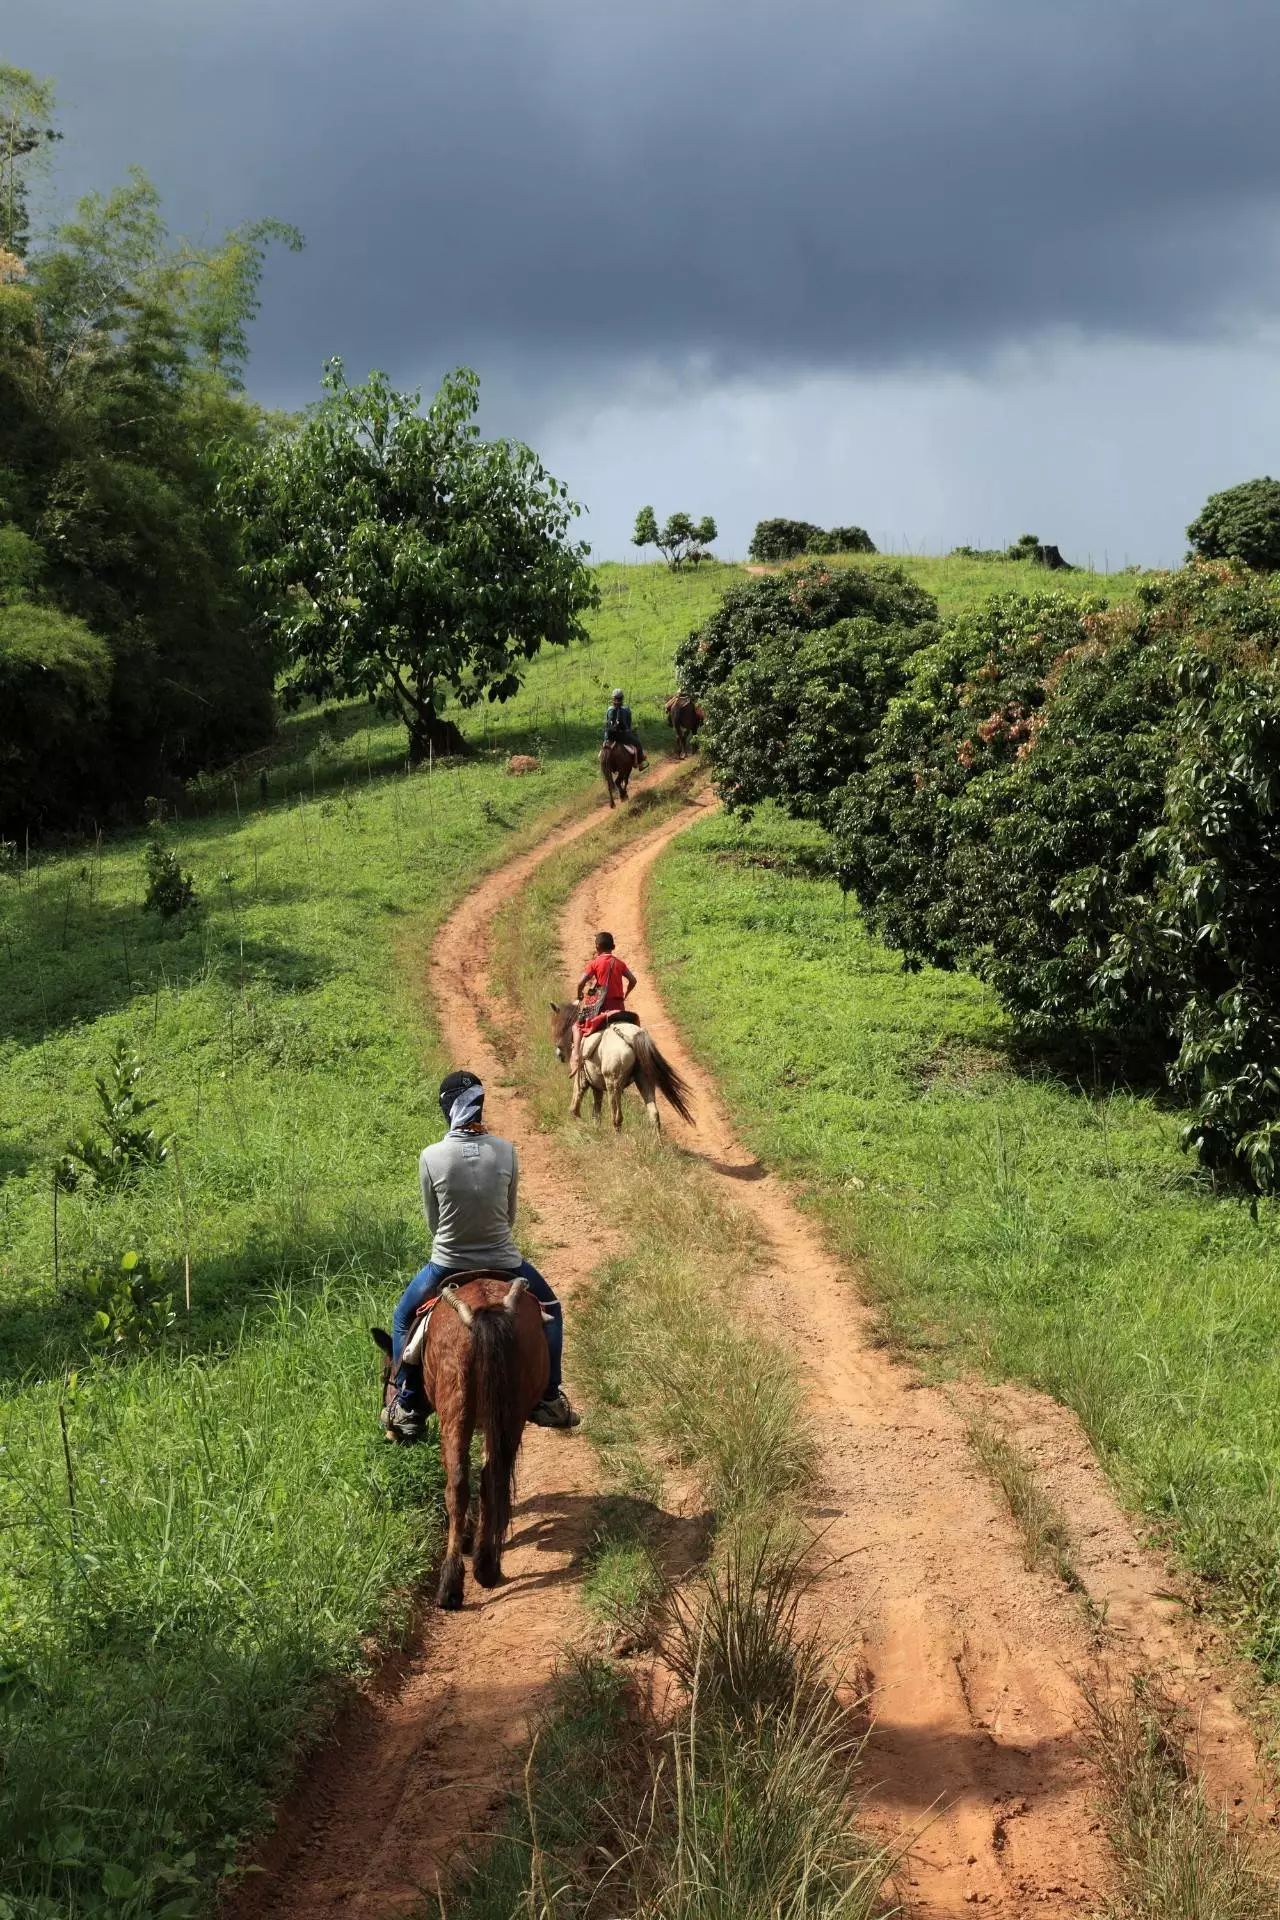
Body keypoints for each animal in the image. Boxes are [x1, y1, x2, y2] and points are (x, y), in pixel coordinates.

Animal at [370, 1282, 552, 1612]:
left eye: (385, 1375)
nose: (391, 1433)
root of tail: (485, 1311)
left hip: (455, 1411)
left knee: (457, 1484)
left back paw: (452, 1584)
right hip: (509, 1413)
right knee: (490, 1478)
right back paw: (485, 1566)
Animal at [548, 998, 694, 1128]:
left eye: (556, 1024)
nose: (559, 1054)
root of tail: (632, 1037)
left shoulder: (583, 1078)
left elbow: (574, 1109)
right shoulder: (596, 1085)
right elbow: (596, 1114)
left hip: (613, 1084)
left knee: (617, 1117)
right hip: (644, 1079)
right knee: (654, 1115)